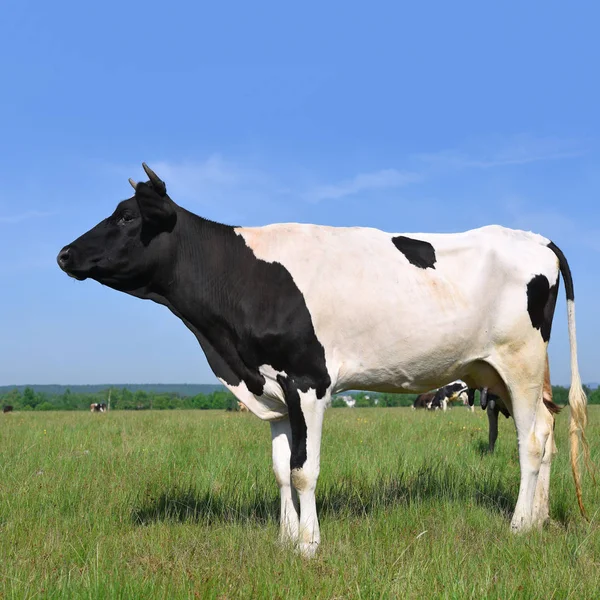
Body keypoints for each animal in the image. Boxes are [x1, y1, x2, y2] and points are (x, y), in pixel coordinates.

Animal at [57, 162, 592, 556]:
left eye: (128, 217)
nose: (63, 254)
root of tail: (536, 238)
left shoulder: (308, 381)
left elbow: (303, 469)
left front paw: (309, 545)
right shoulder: (271, 388)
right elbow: (279, 468)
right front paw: (284, 539)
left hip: (520, 362)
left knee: (532, 441)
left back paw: (519, 526)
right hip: (495, 371)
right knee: (547, 427)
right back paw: (541, 519)